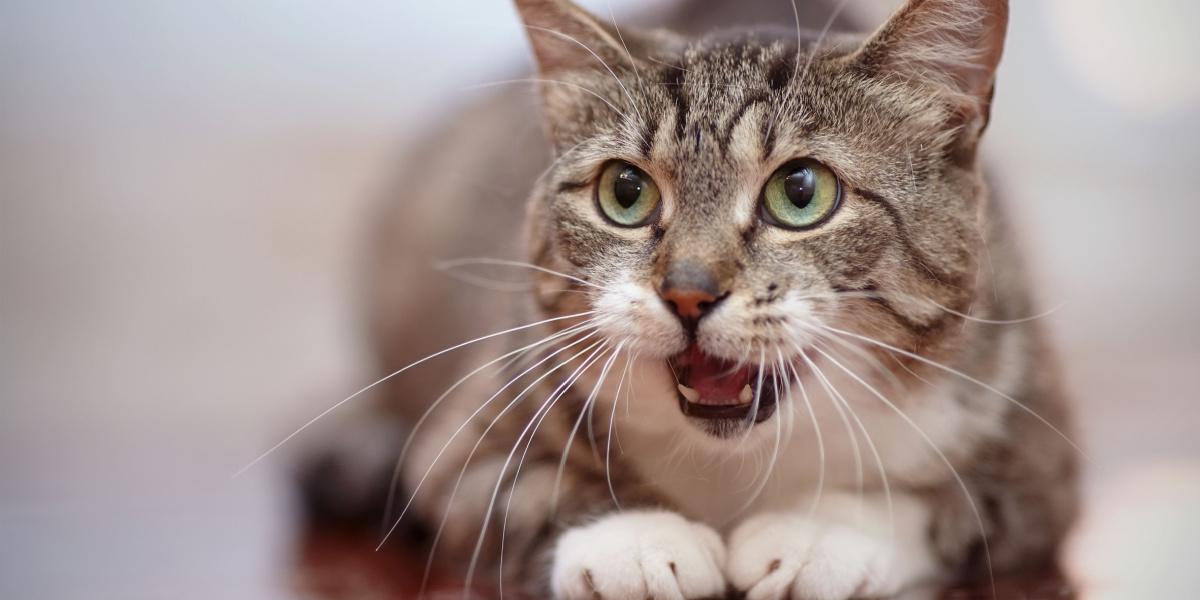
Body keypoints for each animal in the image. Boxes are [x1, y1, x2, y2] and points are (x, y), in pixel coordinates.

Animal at [300, 0, 1080, 597]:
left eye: (802, 192)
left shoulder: (1036, 452)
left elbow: (949, 502)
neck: (737, 464)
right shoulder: (464, 433)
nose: (688, 291)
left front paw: (817, 534)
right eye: (625, 192)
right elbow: (519, 490)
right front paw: (638, 542)